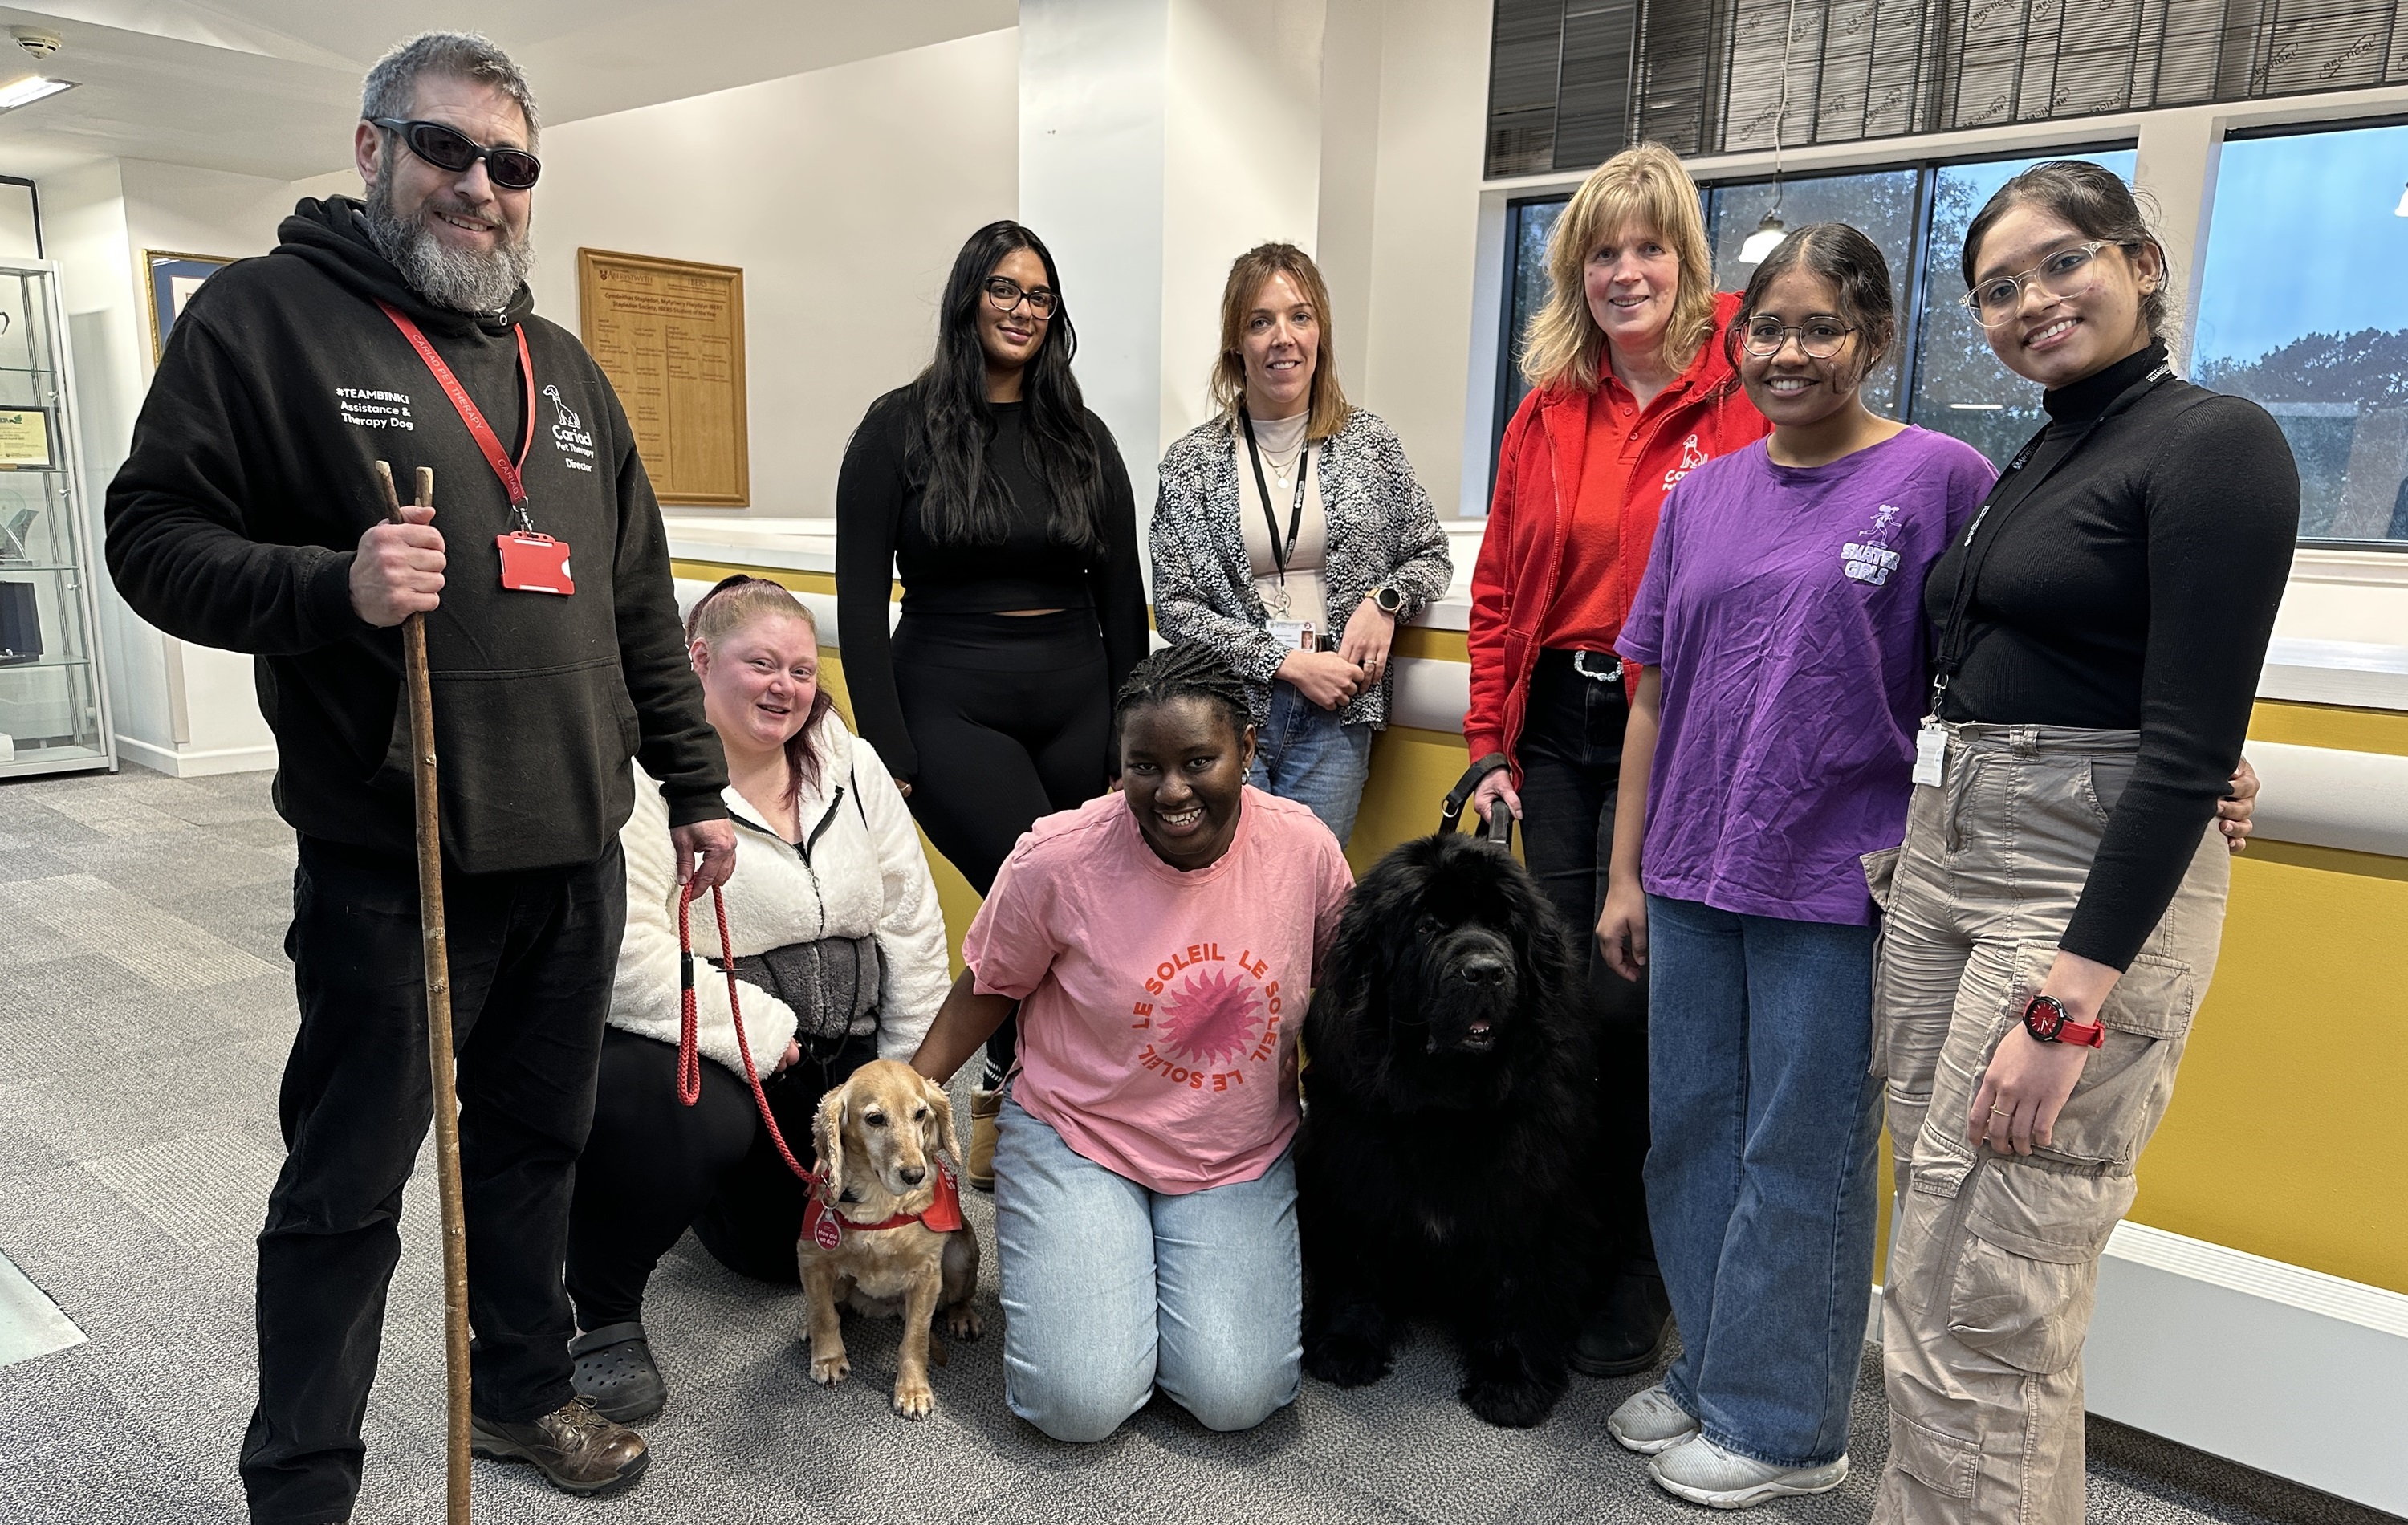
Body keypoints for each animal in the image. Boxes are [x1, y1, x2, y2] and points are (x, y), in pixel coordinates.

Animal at [1300, 828, 1599, 1425]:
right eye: (1427, 925)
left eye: (1505, 925)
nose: (1485, 970)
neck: (1446, 1103)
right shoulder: (1354, 1172)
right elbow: (1355, 1263)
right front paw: (1347, 1343)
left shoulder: (1529, 1200)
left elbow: (1519, 1287)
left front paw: (1512, 1381)